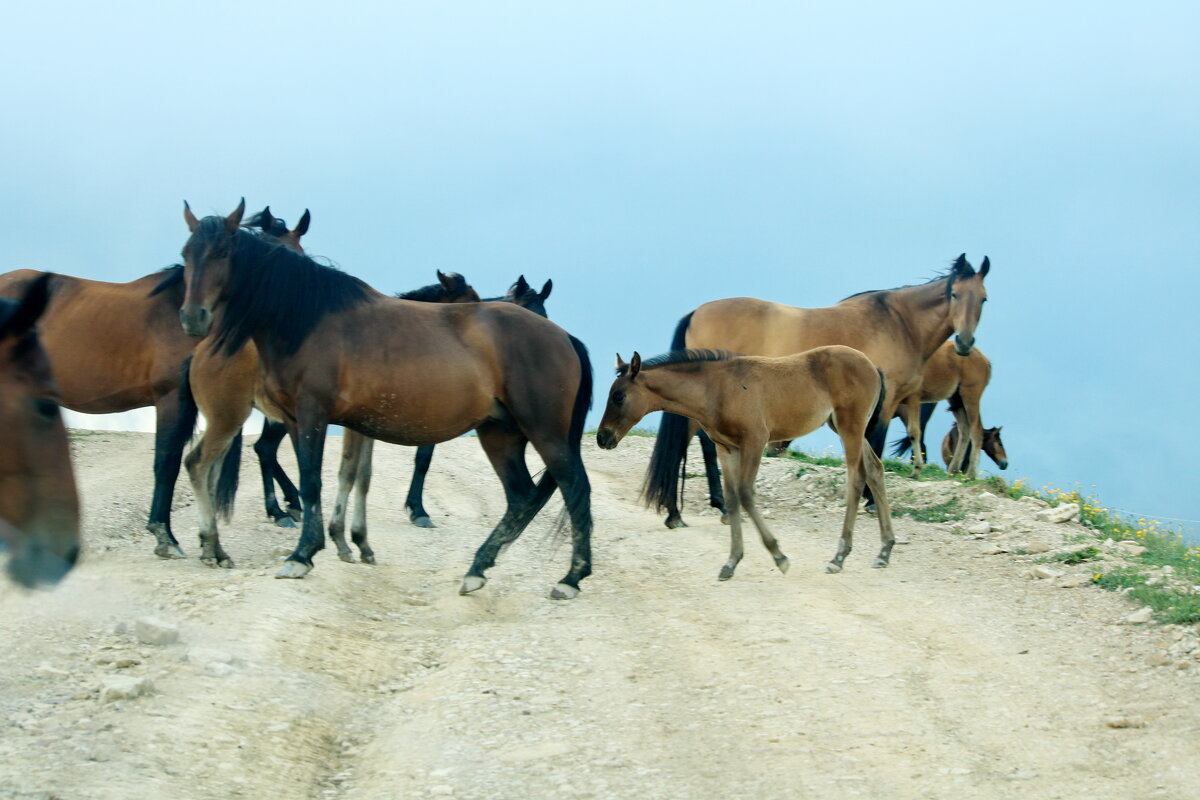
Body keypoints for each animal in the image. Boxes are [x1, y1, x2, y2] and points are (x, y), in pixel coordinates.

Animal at [178, 201, 595, 594]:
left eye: (223, 253)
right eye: (187, 252)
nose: (192, 317)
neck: (306, 318)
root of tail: (563, 336)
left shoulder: (316, 415)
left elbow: (319, 480)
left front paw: (305, 554)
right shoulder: (302, 420)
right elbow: (329, 478)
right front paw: (333, 544)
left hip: (544, 432)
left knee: (575, 489)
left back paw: (571, 577)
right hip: (500, 434)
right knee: (522, 496)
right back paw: (479, 568)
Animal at [595, 347, 897, 578]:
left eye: (618, 396)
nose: (602, 437)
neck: (714, 390)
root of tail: (873, 366)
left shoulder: (755, 440)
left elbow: (746, 493)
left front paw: (779, 556)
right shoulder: (727, 449)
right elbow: (731, 498)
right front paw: (731, 562)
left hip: (850, 427)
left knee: (857, 478)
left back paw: (839, 557)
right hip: (843, 426)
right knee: (875, 470)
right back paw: (884, 551)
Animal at [643, 256, 988, 527]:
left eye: (983, 298)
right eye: (954, 294)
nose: (964, 343)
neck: (898, 324)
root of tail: (696, 313)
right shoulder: (886, 401)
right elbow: (875, 441)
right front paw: (869, 499)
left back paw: (695, 509)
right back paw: (693, 509)